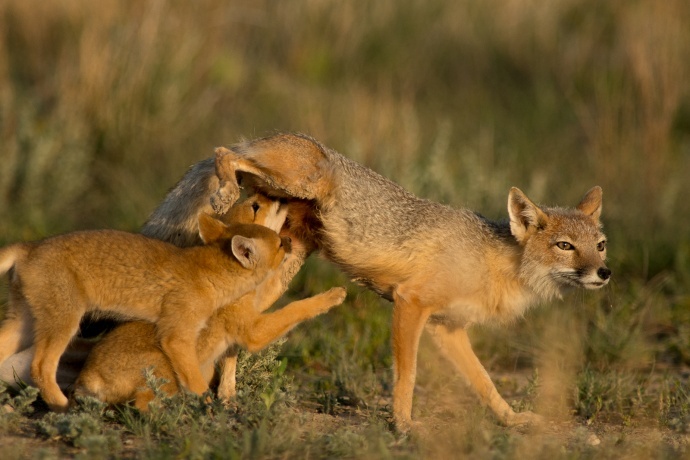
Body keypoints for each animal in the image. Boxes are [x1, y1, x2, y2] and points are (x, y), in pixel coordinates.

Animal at [0, 211, 288, 410]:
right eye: (280, 245)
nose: (288, 240)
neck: (207, 272)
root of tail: (29, 247)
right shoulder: (177, 336)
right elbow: (197, 382)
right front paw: (206, 406)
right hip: (64, 324)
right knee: (40, 368)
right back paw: (62, 406)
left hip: (24, 326)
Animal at [146, 133, 608, 432]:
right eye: (565, 246)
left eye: (600, 246)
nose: (604, 273)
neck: (495, 261)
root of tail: (276, 134)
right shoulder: (410, 303)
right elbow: (407, 376)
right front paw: (403, 425)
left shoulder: (448, 328)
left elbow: (485, 383)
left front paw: (510, 419)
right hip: (299, 179)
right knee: (224, 152)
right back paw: (224, 189)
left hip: (275, 277)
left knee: (240, 328)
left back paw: (227, 398)